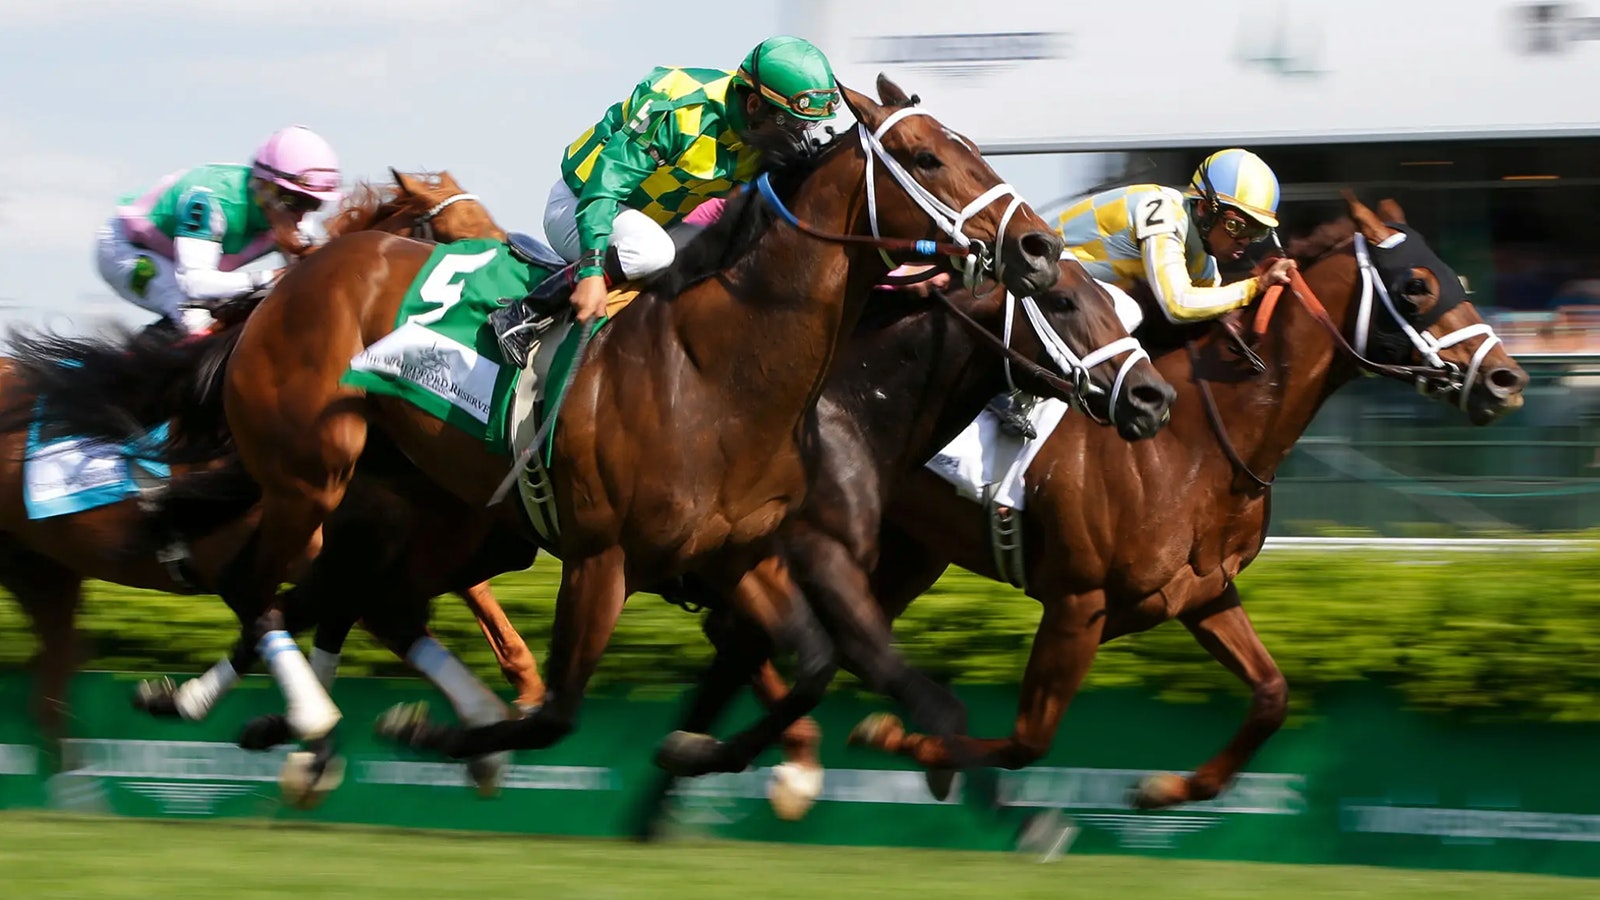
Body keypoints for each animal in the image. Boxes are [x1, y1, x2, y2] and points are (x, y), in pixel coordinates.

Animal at [0, 169, 540, 771]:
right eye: (459, 238)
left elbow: (431, 601)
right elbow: (297, 607)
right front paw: (297, 731)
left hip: (40, 567)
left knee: (53, 690)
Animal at [659, 192, 1523, 816]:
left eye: (1459, 277)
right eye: (1416, 285)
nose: (1507, 378)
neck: (1202, 438)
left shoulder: (1199, 594)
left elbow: (1272, 697)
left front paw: (1168, 788)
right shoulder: (1078, 602)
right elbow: (1026, 739)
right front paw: (907, 746)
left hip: (906, 555)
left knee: (762, 634)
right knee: (753, 630)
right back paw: (784, 760)